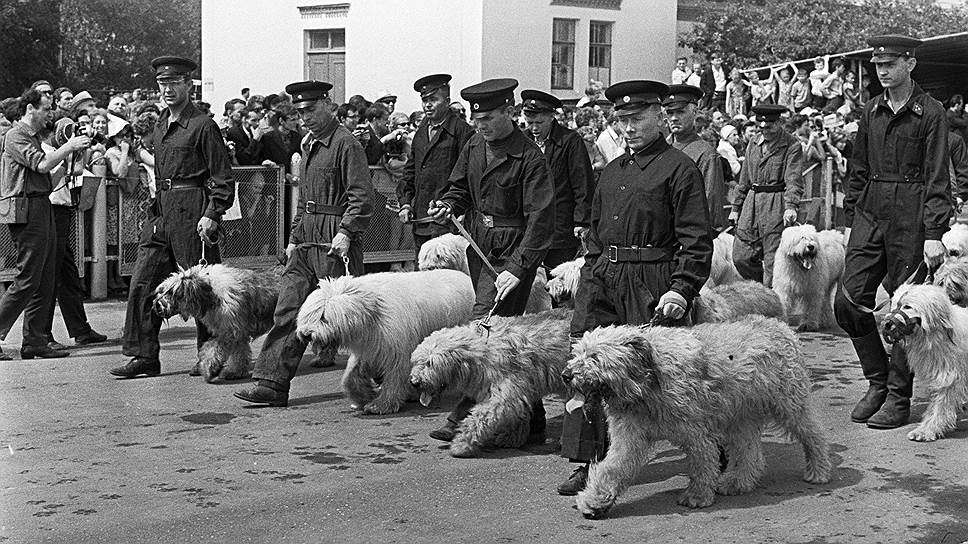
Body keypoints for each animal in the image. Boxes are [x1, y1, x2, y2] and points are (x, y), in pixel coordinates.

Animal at [296, 270, 474, 414]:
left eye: (323, 317)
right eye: (308, 315)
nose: (306, 334)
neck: (372, 310)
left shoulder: (397, 348)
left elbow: (395, 376)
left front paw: (381, 405)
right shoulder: (369, 347)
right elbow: (350, 376)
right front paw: (363, 397)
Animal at [410, 308, 576, 456]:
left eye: (430, 363)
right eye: (418, 361)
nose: (414, 382)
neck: (480, 350)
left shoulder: (503, 395)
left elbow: (479, 418)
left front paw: (461, 444)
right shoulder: (517, 390)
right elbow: (517, 414)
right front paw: (511, 438)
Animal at [568, 316, 832, 520]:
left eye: (594, 356)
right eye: (578, 352)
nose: (565, 375)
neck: (645, 382)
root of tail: (780, 325)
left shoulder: (695, 431)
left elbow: (702, 462)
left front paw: (697, 496)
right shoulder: (629, 436)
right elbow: (612, 468)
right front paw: (594, 501)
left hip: (790, 404)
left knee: (814, 434)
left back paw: (819, 470)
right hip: (740, 416)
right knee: (749, 452)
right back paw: (738, 482)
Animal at [880, 284, 964, 442]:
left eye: (907, 306)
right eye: (895, 306)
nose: (887, 324)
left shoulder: (948, 376)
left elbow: (940, 405)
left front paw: (927, 430)